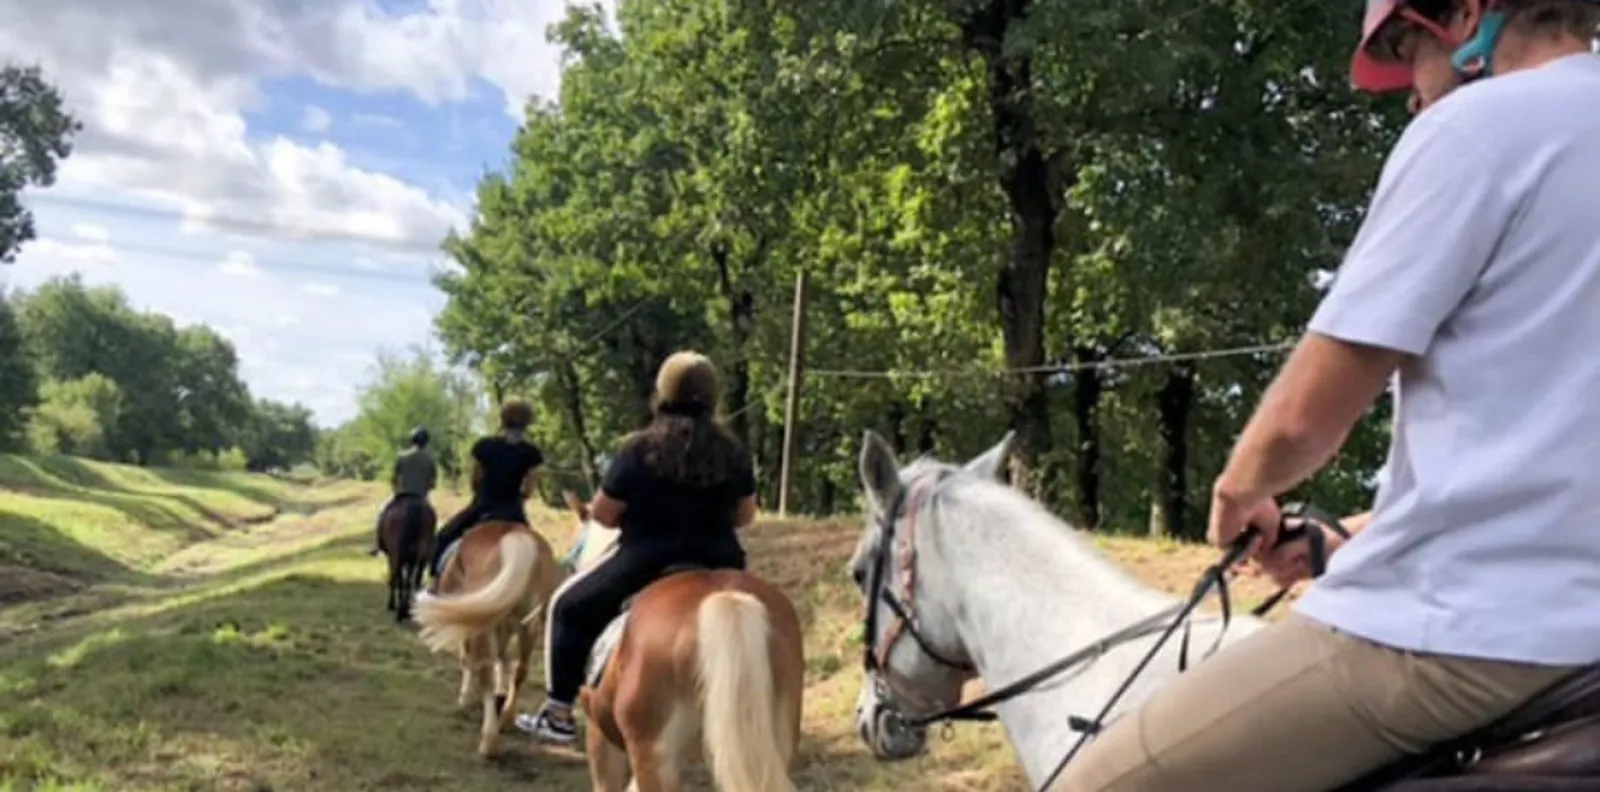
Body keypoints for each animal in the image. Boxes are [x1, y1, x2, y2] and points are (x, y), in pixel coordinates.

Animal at [412, 518, 562, 758]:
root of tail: (514, 536)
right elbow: (503, 660)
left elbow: (468, 661)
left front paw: (464, 699)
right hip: (529, 627)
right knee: (519, 671)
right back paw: (506, 719)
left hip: (485, 626)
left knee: (485, 675)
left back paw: (488, 742)